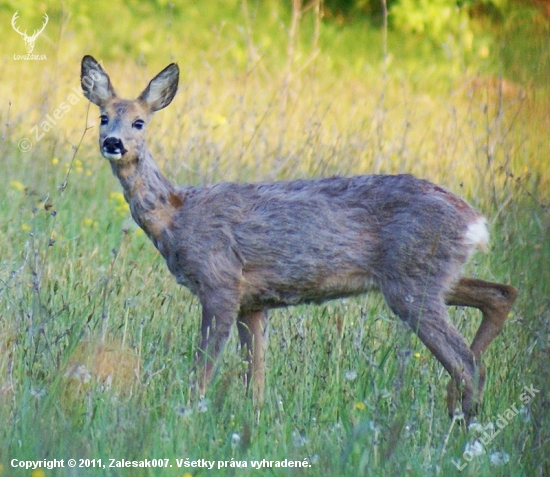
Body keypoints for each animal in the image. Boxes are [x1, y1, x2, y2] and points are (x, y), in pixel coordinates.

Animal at [81, 54, 516, 420]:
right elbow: (255, 380)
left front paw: (185, 416)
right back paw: (457, 409)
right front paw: (252, 424)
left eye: (139, 122)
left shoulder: (220, 282)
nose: (113, 143)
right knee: (500, 295)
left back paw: (459, 425)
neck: (176, 215)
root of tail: (474, 222)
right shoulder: (253, 303)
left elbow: (203, 369)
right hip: (430, 275)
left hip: (411, 280)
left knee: (466, 361)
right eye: (103, 117)